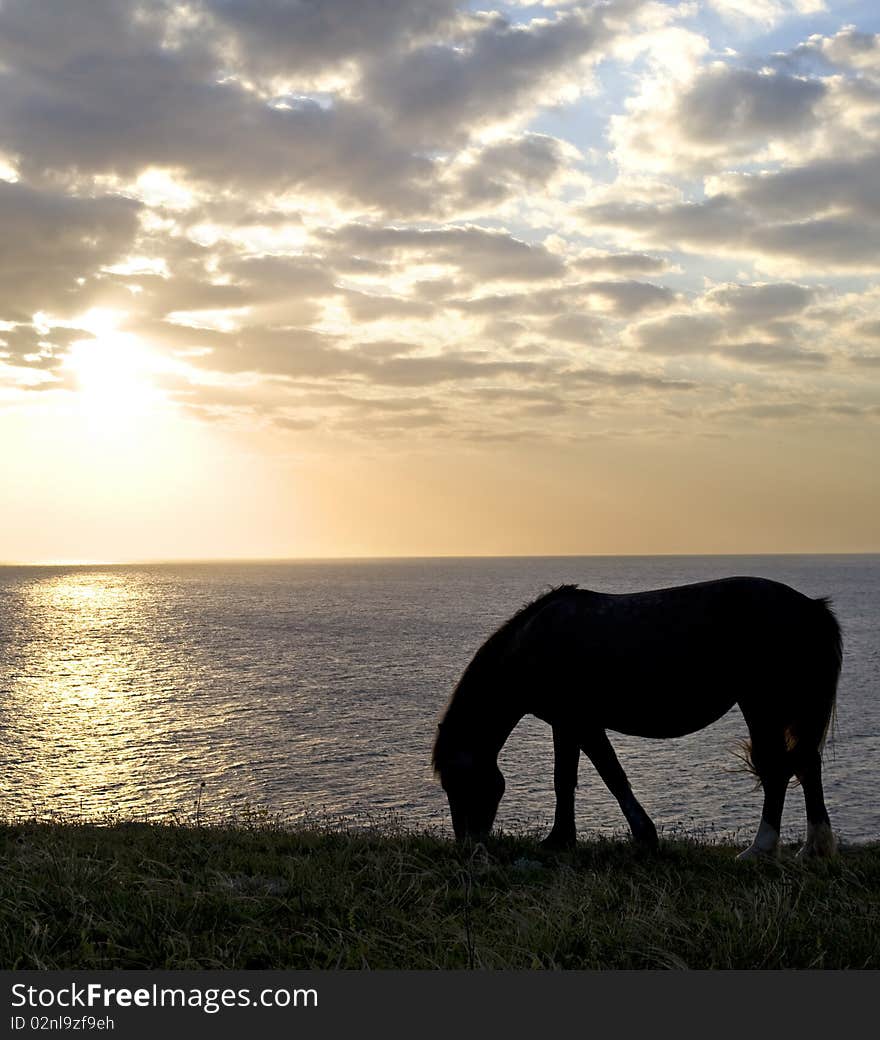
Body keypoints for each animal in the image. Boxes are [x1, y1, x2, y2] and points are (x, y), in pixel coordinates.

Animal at [434, 578, 848, 861]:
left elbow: (611, 776)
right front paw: (560, 840)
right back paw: (814, 848)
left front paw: (643, 835)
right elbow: (565, 780)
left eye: (459, 781)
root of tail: (811, 608)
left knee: (778, 769)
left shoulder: (582, 722)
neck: (531, 646)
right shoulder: (565, 724)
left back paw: (759, 849)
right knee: (806, 765)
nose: (467, 846)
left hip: (762, 704)